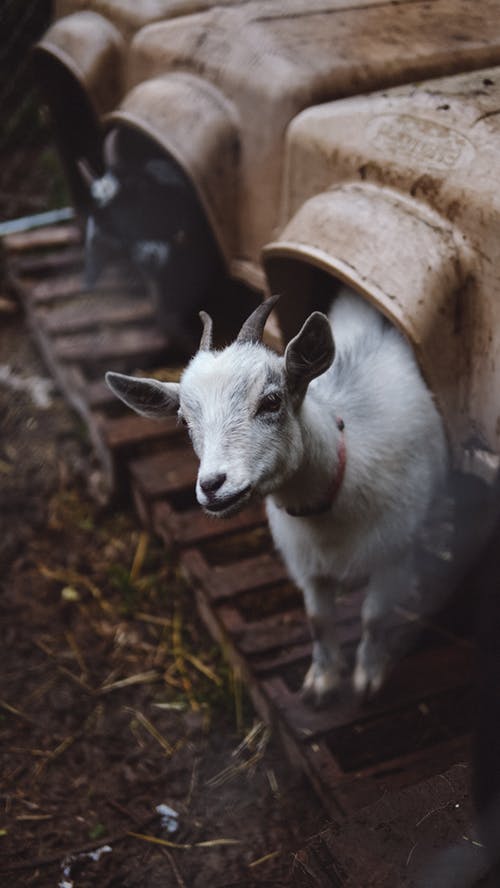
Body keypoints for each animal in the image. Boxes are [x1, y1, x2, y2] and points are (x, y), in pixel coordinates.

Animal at [105, 288, 446, 704]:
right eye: (185, 421)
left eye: (271, 401)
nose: (212, 485)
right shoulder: (307, 565)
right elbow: (318, 620)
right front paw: (322, 683)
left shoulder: (393, 551)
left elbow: (374, 618)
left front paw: (368, 678)